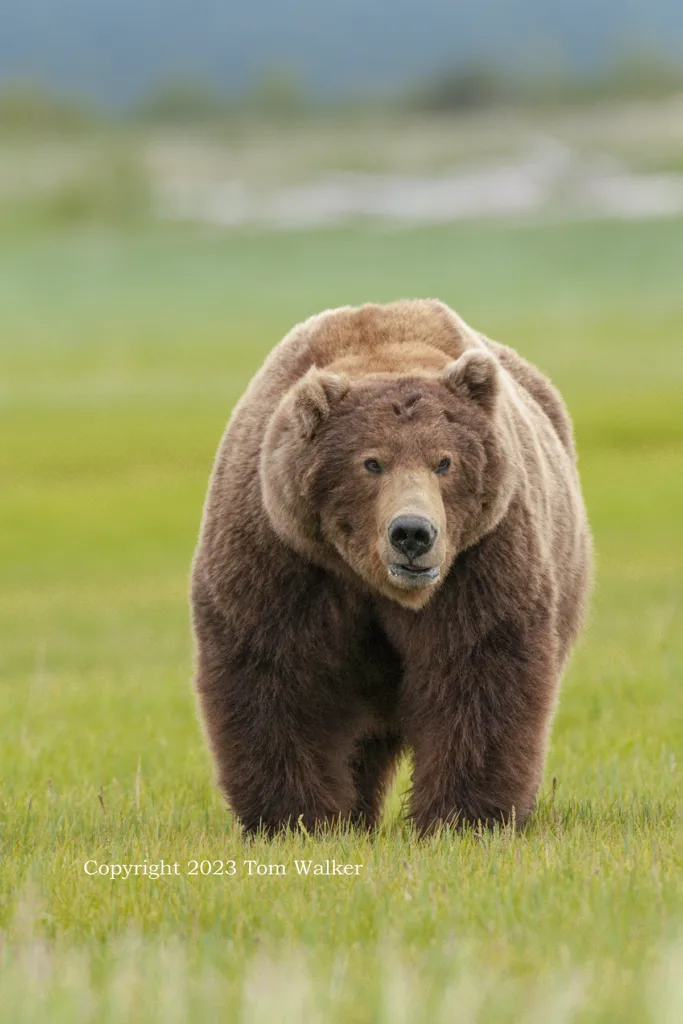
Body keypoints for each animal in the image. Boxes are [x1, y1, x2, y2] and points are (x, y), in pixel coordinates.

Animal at [191, 299, 593, 831]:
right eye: (371, 462)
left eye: (444, 461)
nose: (412, 534)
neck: (370, 579)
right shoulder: (281, 555)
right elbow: (276, 674)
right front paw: (298, 816)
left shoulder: (481, 559)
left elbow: (478, 668)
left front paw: (465, 815)